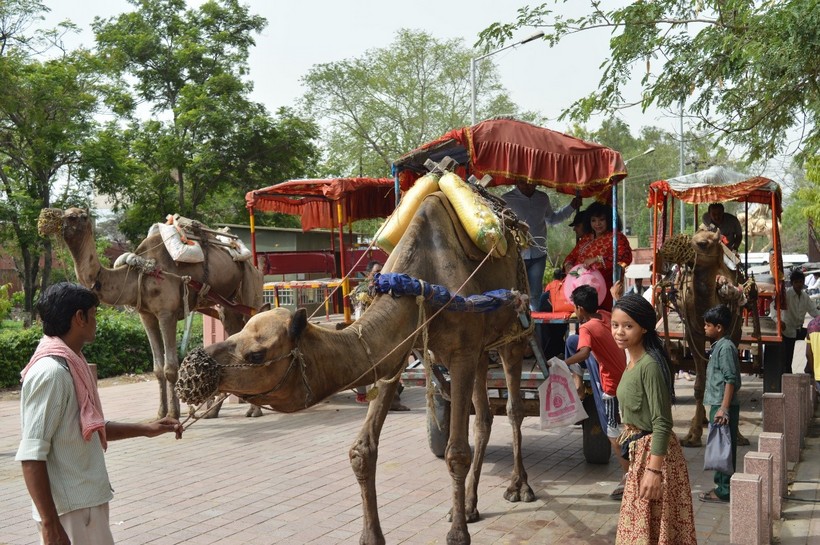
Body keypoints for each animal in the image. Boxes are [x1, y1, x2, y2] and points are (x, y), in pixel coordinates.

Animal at [52, 207, 262, 416]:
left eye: (78, 216)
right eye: (65, 214)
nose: (61, 224)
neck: (142, 271)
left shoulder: (166, 313)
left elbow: (170, 367)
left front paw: (174, 414)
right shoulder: (146, 315)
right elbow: (158, 368)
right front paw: (161, 413)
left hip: (249, 288)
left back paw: (254, 410)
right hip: (226, 303)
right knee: (234, 330)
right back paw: (215, 411)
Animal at [179, 191, 532, 544]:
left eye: (256, 354)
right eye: (233, 335)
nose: (192, 369)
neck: (421, 285)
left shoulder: (461, 352)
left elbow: (456, 452)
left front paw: (457, 534)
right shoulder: (400, 351)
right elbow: (362, 451)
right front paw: (372, 536)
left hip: (513, 335)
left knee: (514, 407)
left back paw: (519, 487)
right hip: (481, 352)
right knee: (484, 416)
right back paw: (471, 505)